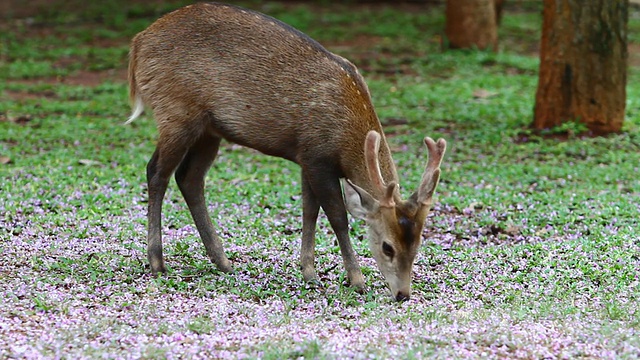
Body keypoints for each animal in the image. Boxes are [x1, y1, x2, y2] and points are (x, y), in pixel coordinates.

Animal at [125, 2, 444, 300]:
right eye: (387, 247)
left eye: (417, 244)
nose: (403, 294)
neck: (345, 138)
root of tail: (137, 43)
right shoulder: (317, 155)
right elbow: (337, 216)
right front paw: (356, 280)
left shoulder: (306, 157)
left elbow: (309, 211)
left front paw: (309, 272)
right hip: (175, 112)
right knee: (157, 172)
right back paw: (157, 262)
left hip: (209, 130)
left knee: (189, 178)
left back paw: (223, 262)